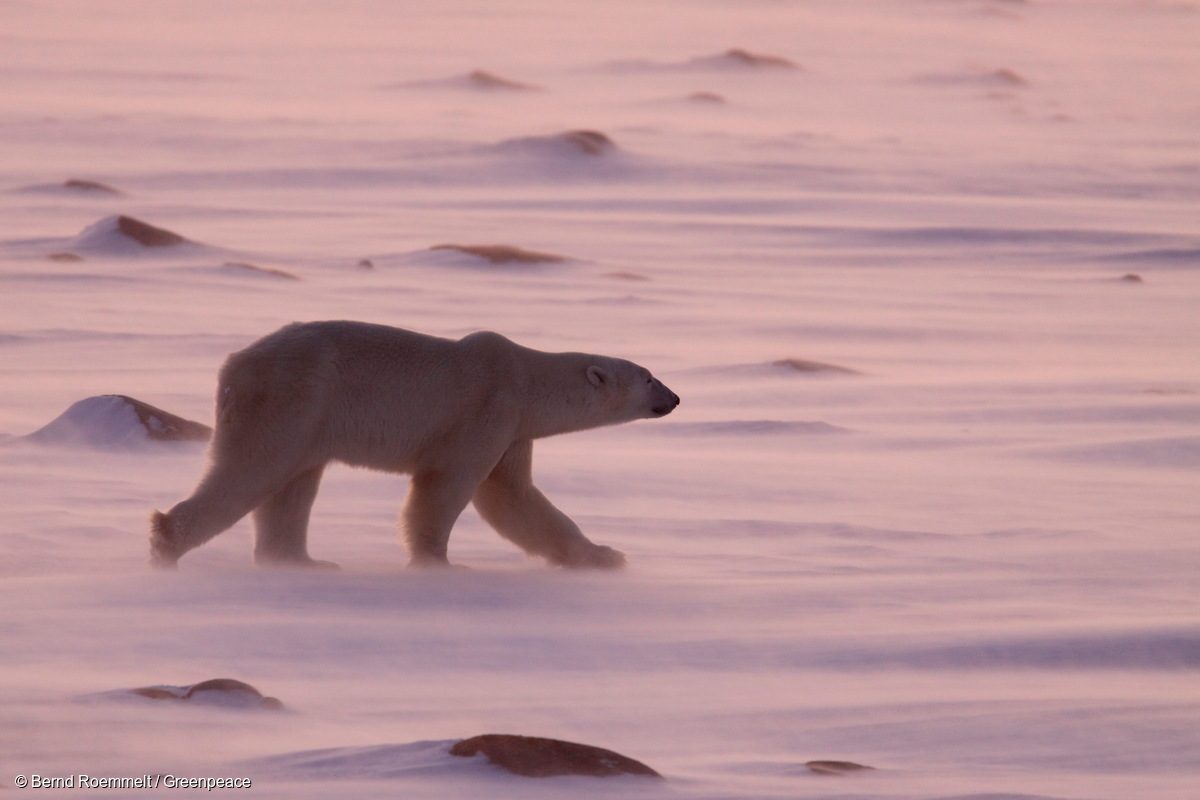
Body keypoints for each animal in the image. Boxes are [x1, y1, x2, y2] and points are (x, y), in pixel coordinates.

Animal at [150, 321, 679, 570]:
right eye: (649, 376)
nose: (674, 398)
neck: (525, 376)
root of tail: (233, 366)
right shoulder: (486, 410)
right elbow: (447, 489)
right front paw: (440, 562)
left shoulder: (513, 430)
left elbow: (515, 498)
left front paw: (605, 555)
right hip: (291, 398)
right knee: (253, 469)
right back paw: (167, 542)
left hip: (309, 417)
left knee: (292, 486)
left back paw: (304, 561)